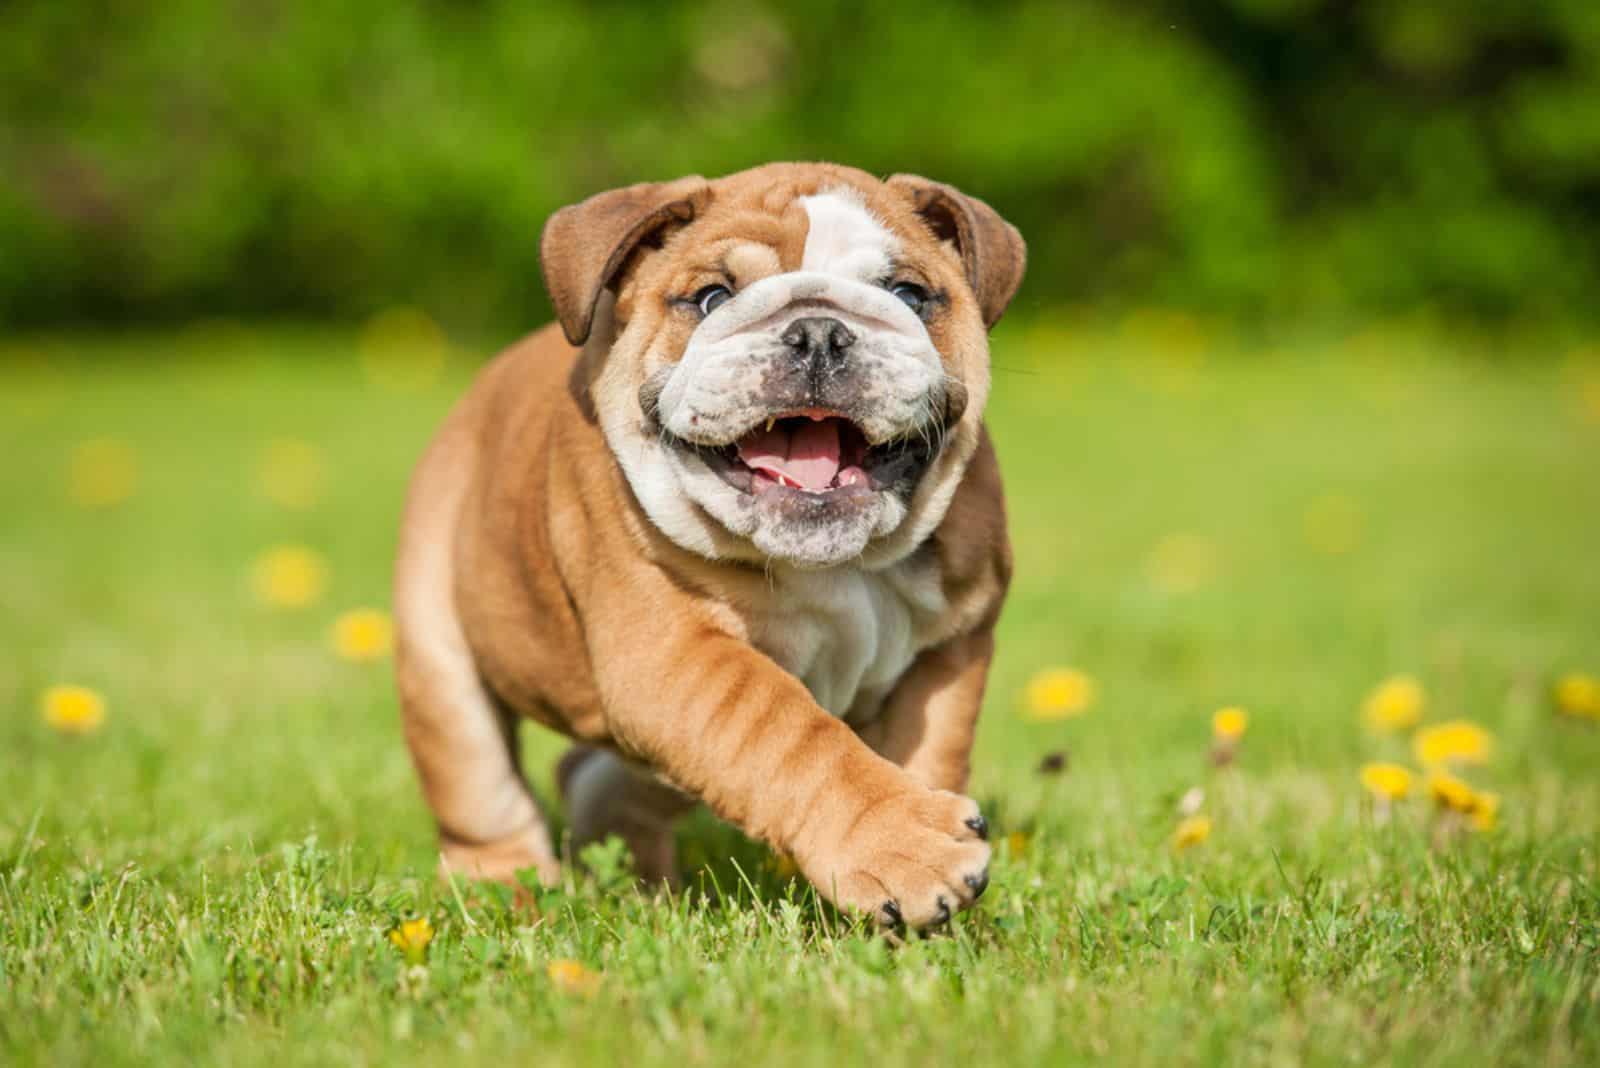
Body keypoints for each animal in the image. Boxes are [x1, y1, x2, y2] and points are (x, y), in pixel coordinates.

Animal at [400, 160, 1024, 927]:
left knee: (608, 779)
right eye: (711, 298)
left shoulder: (948, 652)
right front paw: (906, 844)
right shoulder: (680, 659)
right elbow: (794, 737)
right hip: (440, 656)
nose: (819, 332)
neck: (839, 564)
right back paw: (511, 889)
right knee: (482, 791)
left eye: (907, 293)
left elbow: (928, 750)